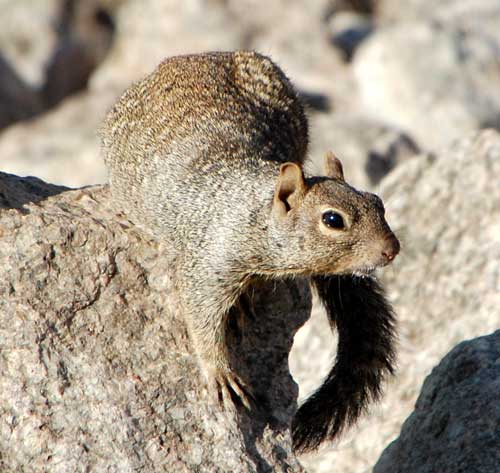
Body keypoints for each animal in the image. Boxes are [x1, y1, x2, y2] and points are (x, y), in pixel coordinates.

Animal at [99, 49, 400, 452]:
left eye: (377, 201)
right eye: (333, 220)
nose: (392, 249)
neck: (255, 214)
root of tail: (195, 54)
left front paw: (247, 298)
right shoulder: (208, 263)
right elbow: (200, 319)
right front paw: (221, 373)